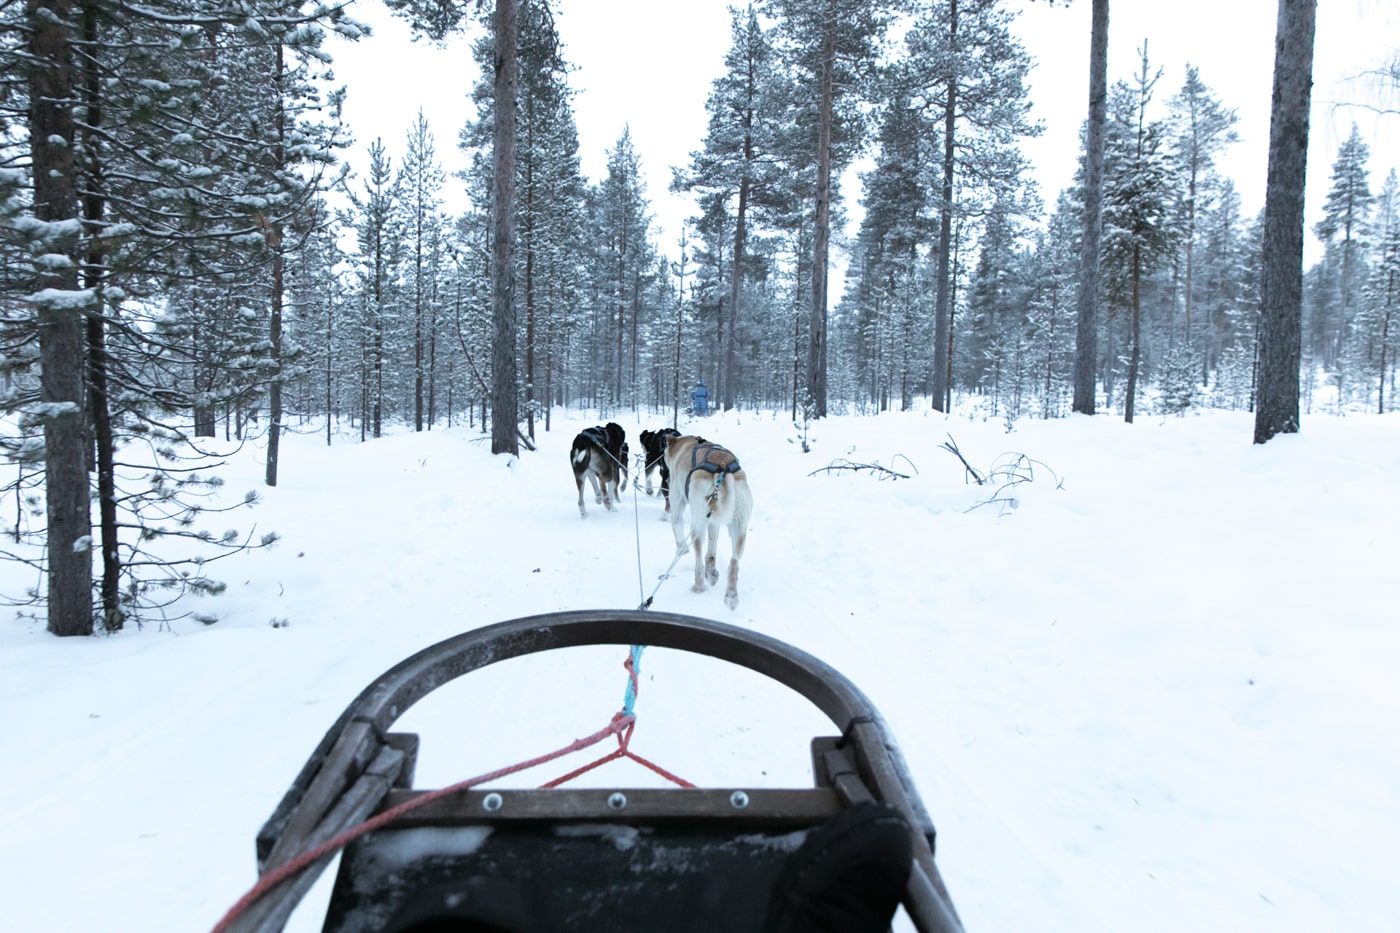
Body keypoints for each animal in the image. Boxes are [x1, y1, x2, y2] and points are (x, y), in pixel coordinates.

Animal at [666, 431, 756, 607]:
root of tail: (722, 467)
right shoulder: (713, 522)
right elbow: (712, 551)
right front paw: (712, 571)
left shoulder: (678, 500)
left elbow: (676, 523)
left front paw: (681, 548)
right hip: (739, 528)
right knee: (733, 562)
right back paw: (731, 595)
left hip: (697, 526)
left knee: (699, 559)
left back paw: (698, 586)